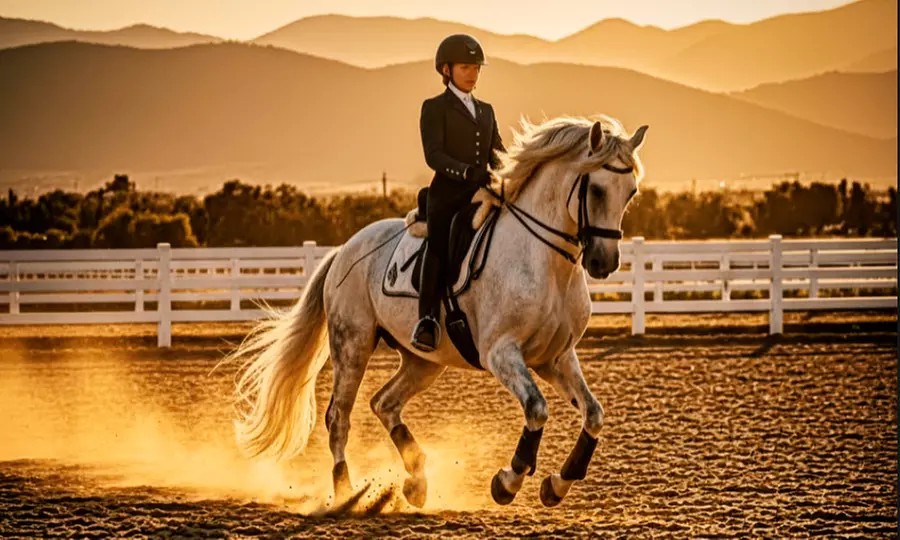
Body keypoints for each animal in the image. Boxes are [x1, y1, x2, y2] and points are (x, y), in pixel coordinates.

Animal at [228, 115, 648, 508]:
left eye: (631, 192)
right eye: (596, 189)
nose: (604, 262)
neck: (545, 263)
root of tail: (344, 249)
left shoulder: (556, 357)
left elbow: (594, 413)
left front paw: (557, 484)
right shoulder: (501, 353)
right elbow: (537, 409)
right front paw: (507, 481)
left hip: (423, 362)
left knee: (384, 403)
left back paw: (416, 481)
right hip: (352, 345)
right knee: (339, 416)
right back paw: (346, 491)